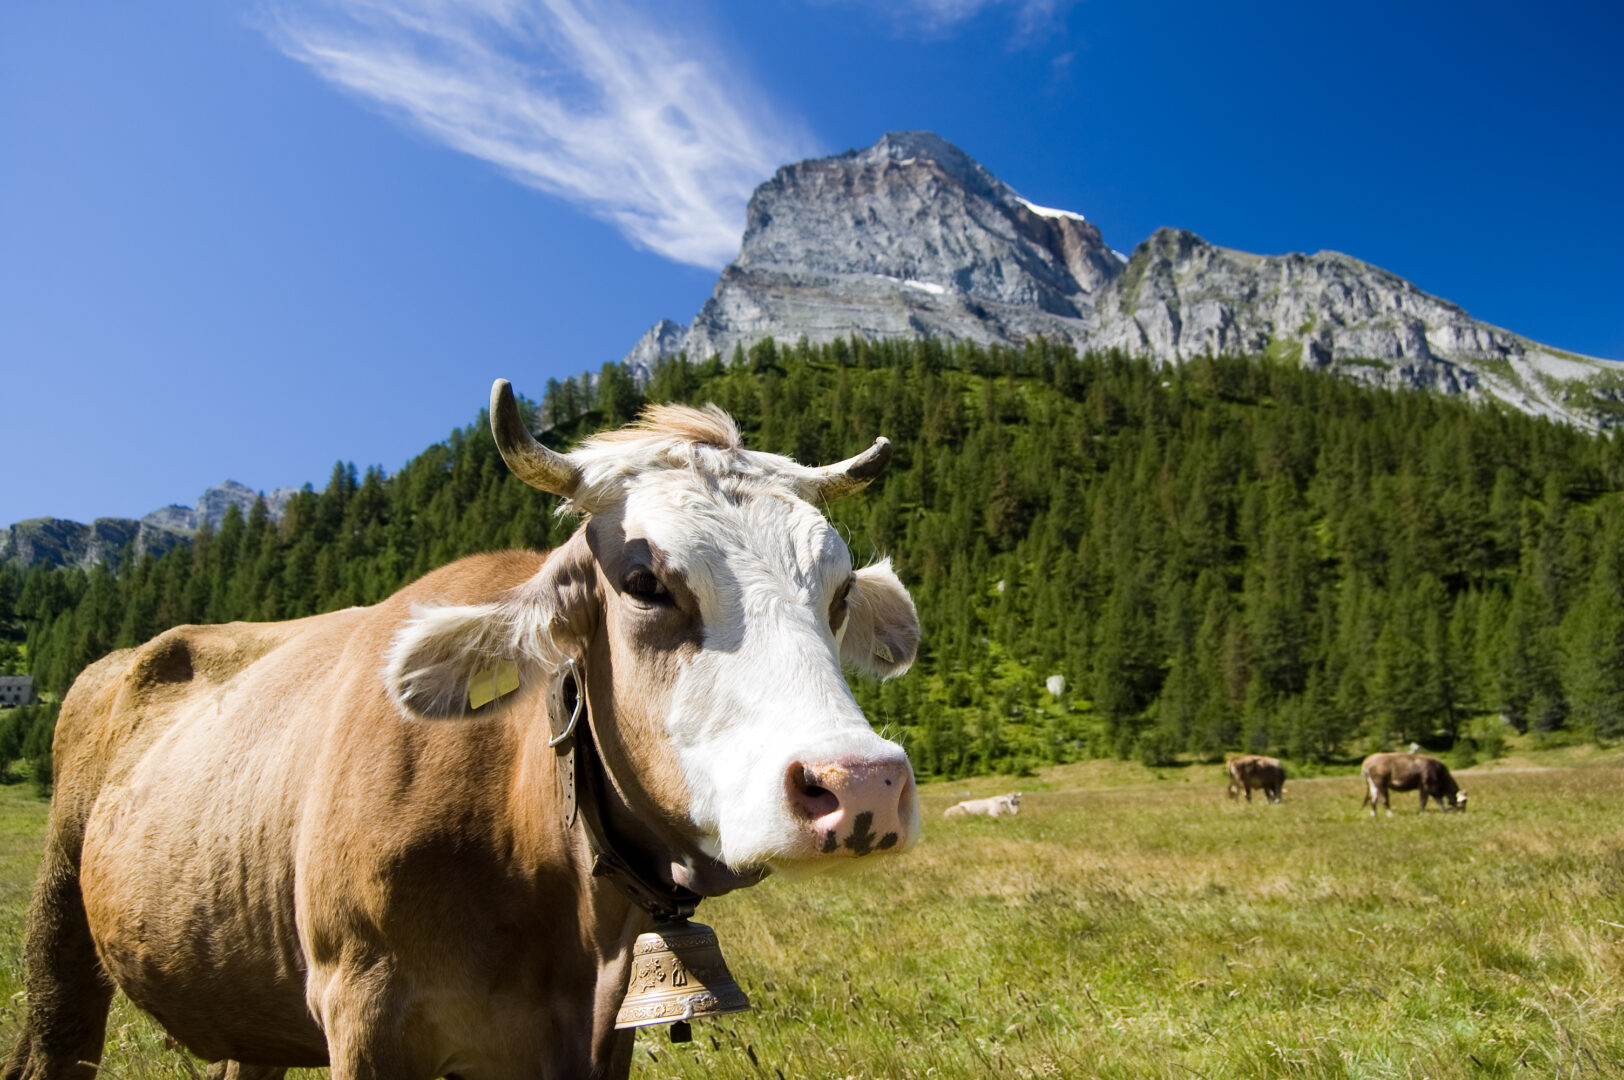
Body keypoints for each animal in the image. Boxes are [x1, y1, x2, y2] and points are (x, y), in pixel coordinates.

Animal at [6, 384, 923, 1080]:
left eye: (839, 591)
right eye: (644, 582)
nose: (861, 782)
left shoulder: (603, 1037)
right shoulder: (365, 1011)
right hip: (59, 936)